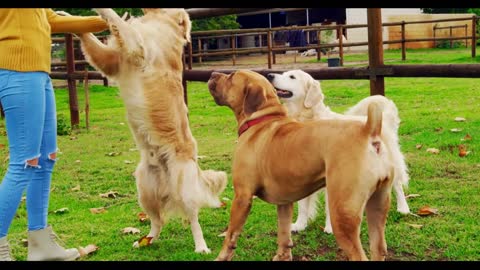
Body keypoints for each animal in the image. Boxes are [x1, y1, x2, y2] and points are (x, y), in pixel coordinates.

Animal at [266, 70, 408, 233]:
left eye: (292, 77)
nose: (269, 75)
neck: (307, 118)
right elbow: (302, 206)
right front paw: (299, 225)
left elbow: (329, 207)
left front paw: (329, 228)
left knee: (397, 185)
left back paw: (403, 208)